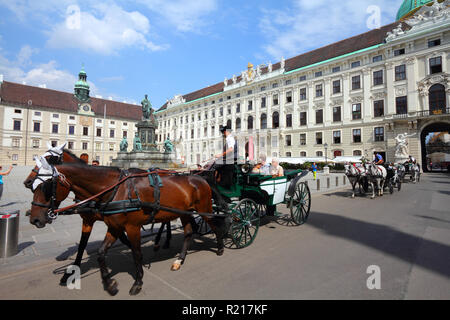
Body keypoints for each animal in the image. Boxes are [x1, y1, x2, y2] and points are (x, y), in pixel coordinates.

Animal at [27, 159, 229, 296]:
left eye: (45, 186)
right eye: (33, 187)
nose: (34, 219)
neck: (114, 189)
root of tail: (199, 178)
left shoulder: (132, 227)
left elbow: (136, 253)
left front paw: (138, 282)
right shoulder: (113, 227)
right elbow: (100, 252)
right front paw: (109, 284)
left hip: (204, 209)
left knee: (215, 225)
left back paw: (220, 247)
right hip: (184, 213)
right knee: (188, 232)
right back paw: (179, 259)